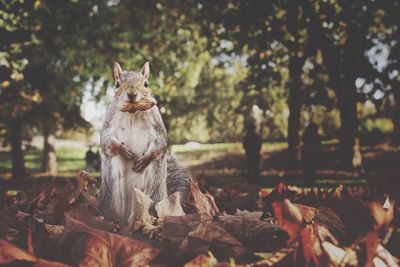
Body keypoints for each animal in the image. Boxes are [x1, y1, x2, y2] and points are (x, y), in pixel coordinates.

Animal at [97, 61, 191, 223]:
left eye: (146, 84)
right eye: (117, 84)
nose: (132, 94)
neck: (132, 113)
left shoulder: (157, 125)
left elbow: (161, 143)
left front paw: (145, 159)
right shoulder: (109, 121)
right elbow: (105, 141)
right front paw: (123, 151)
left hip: (154, 195)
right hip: (110, 197)